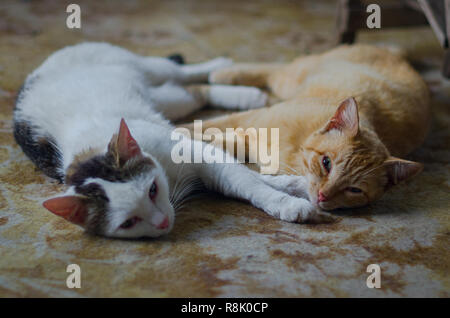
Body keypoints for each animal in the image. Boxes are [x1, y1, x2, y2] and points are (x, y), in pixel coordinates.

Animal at [13, 41, 334, 238]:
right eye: (129, 222)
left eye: (152, 190)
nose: (163, 222)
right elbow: (246, 177)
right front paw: (293, 188)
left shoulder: (198, 152)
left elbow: (249, 181)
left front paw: (288, 198)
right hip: (164, 100)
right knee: (191, 91)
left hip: (146, 70)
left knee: (182, 74)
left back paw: (227, 73)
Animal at [195, 43, 430, 210]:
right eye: (326, 163)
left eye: (354, 190)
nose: (322, 195)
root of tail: (398, 58)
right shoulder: (252, 120)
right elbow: (203, 127)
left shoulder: (248, 138)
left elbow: (216, 140)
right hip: (291, 79)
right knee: (275, 68)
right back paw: (225, 72)